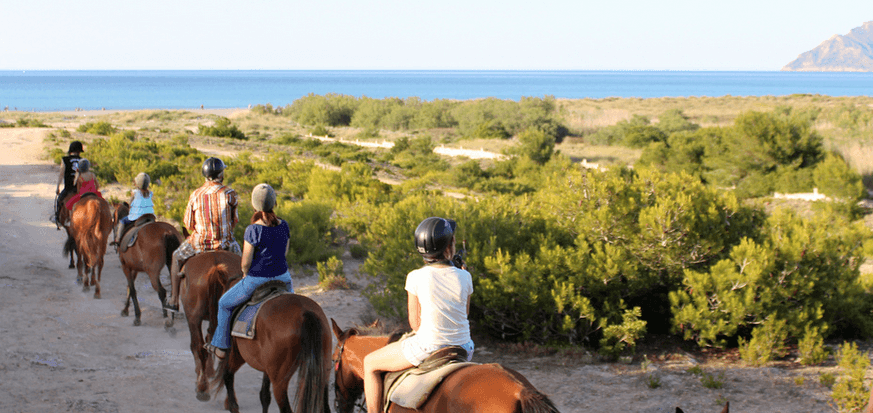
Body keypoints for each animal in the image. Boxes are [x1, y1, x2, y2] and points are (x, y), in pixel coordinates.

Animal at [204, 268, 332, 413]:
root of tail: (305, 313)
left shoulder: (236, 356)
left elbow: (228, 377)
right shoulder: (267, 367)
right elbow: (264, 396)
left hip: (279, 381)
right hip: (323, 371)